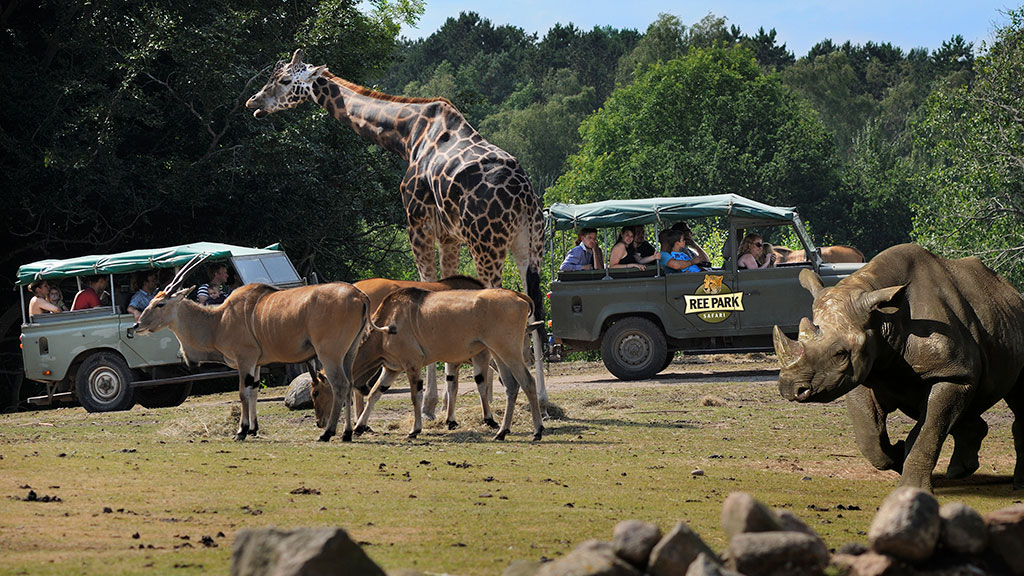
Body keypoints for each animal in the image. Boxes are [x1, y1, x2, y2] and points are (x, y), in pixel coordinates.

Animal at [134, 255, 370, 438]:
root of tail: (360, 296)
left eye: (160, 304)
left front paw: (241, 431)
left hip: (329, 353)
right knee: (350, 384)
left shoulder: (244, 358)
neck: (218, 321)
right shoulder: (256, 362)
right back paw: (347, 433)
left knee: (340, 385)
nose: (137, 325)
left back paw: (328, 433)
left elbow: (242, 393)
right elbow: (254, 390)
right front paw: (254, 429)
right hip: (349, 352)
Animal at [246, 50, 548, 412]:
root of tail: (525, 197)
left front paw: (432, 403)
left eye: (285, 80)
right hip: (530, 246)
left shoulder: (418, 224)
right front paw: (447, 402)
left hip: (486, 244)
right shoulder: (449, 235)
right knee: (535, 310)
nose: (253, 102)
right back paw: (543, 400)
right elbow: (447, 293)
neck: (406, 134)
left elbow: (428, 289)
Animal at [311, 284, 544, 438]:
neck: (387, 323)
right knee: (511, 386)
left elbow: (416, 396)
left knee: (528, 382)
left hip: (508, 352)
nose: (319, 422)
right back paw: (503, 431)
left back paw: (537, 431)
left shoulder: (412, 365)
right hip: (498, 354)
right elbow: (375, 393)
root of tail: (518, 296)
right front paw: (359, 427)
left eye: (315, 393)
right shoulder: (392, 368)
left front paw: (415, 430)